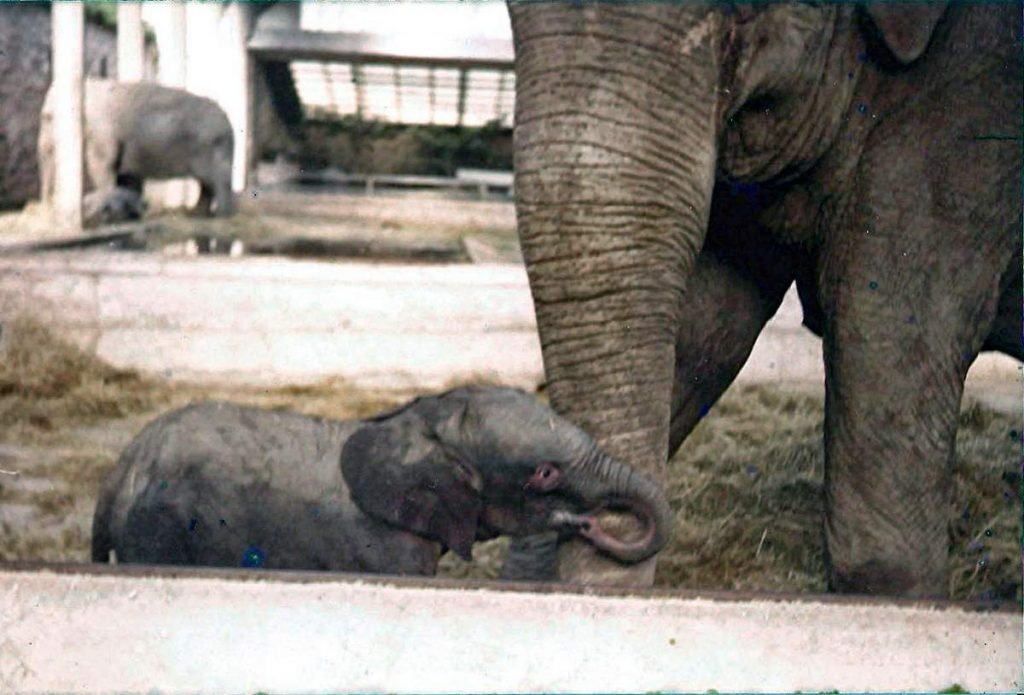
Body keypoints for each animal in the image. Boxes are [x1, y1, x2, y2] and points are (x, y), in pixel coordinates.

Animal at [38, 78, 235, 216]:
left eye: (46, 117)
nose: (47, 207)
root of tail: (228, 122)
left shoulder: (102, 131)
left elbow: (102, 164)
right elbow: (125, 173)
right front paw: (129, 211)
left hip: (214, 148)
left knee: (218, 181)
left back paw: (222, 216)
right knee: (206, 184)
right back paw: (198, 214)